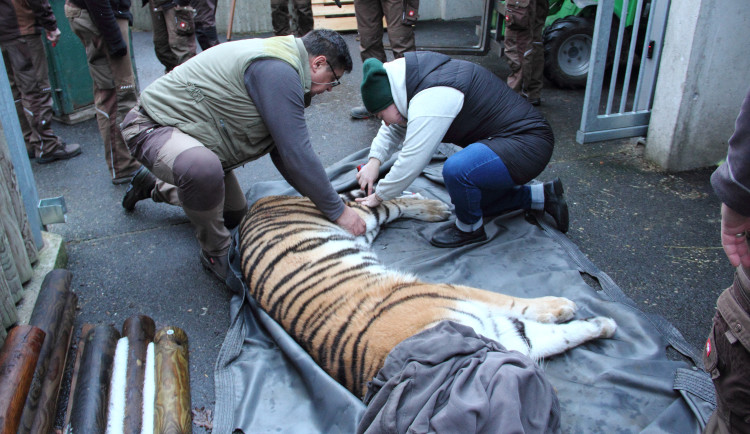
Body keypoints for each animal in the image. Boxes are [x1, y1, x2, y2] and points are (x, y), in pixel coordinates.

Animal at [239, 192, 616, 398]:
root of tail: (259, 200)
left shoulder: (454, 295)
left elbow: (515, 305)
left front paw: (577, 311)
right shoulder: (502, 332)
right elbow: (551, 334)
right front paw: (600, 322)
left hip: (358, 219)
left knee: (383, 200)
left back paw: (435, 206)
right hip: (361, 227)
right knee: (383, 205)